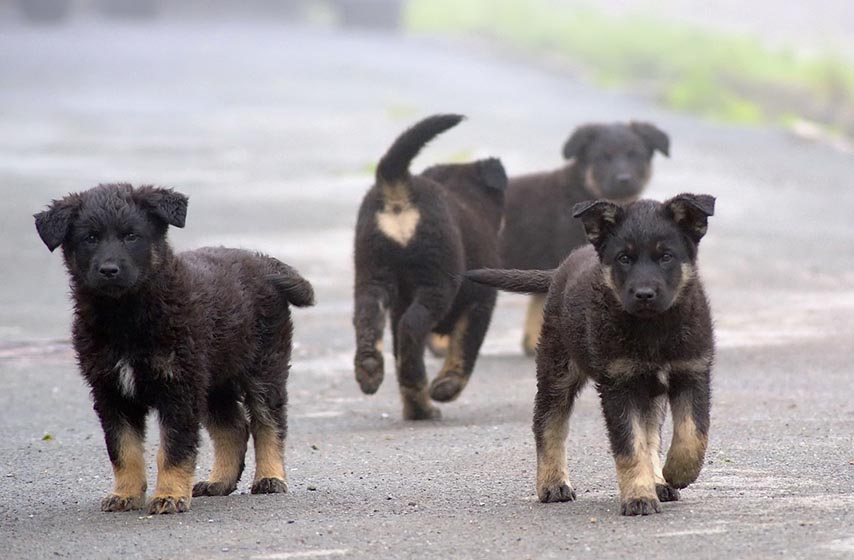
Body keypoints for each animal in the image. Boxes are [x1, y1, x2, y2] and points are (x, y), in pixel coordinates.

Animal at [34, 186, 314, 516]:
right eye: (89, 238)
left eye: (132, 236)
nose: (109, 270)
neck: (126, 316)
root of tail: (264, 264)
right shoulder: (110, 391)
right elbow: (123, 450)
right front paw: (125, 494)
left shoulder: (178, 387)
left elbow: (174, 448)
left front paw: (169, 495)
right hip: (213, 380)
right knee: (234, 428)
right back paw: (219, 481)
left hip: (263, 368)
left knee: (268, 422)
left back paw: (270, 477)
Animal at [354, 115, 508, 420]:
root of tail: (399, 186)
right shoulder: (481, 302)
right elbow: (465, 348)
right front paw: (447, 387)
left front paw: (416, 406)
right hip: (436, 281)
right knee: (413, 328)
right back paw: (421, 392)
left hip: (372, 274)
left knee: (369, 318)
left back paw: (371, 370)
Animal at [468, 195, 716, 520]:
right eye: (624, 258)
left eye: (666, 256)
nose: (644, 294)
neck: (653, 329)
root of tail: (559, 270)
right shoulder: (618, 385)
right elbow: (629, 446)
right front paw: (639, 496)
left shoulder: (692, 372)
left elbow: (692, 433)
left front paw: (675, 473)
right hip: (557, 371)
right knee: (548, 424)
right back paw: (553, 484)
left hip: (647, 392)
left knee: (651, 433)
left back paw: (658, 481)